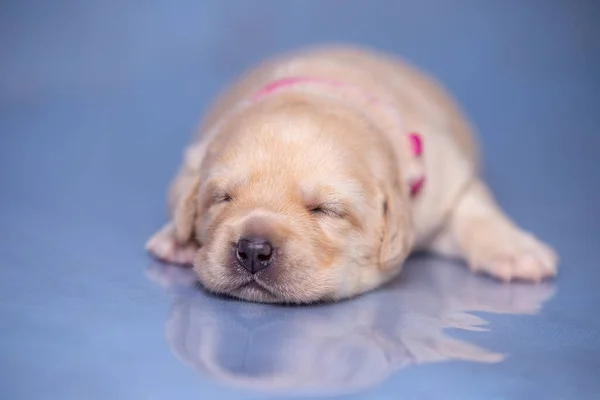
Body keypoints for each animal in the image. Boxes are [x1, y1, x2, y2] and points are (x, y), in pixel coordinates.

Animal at [145, 44, 556, 304]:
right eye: (222, 198)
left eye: (325, 210)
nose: (253, 250)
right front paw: (176, 238)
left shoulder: (445, 178)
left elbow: (474, 210)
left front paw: (516, 252)